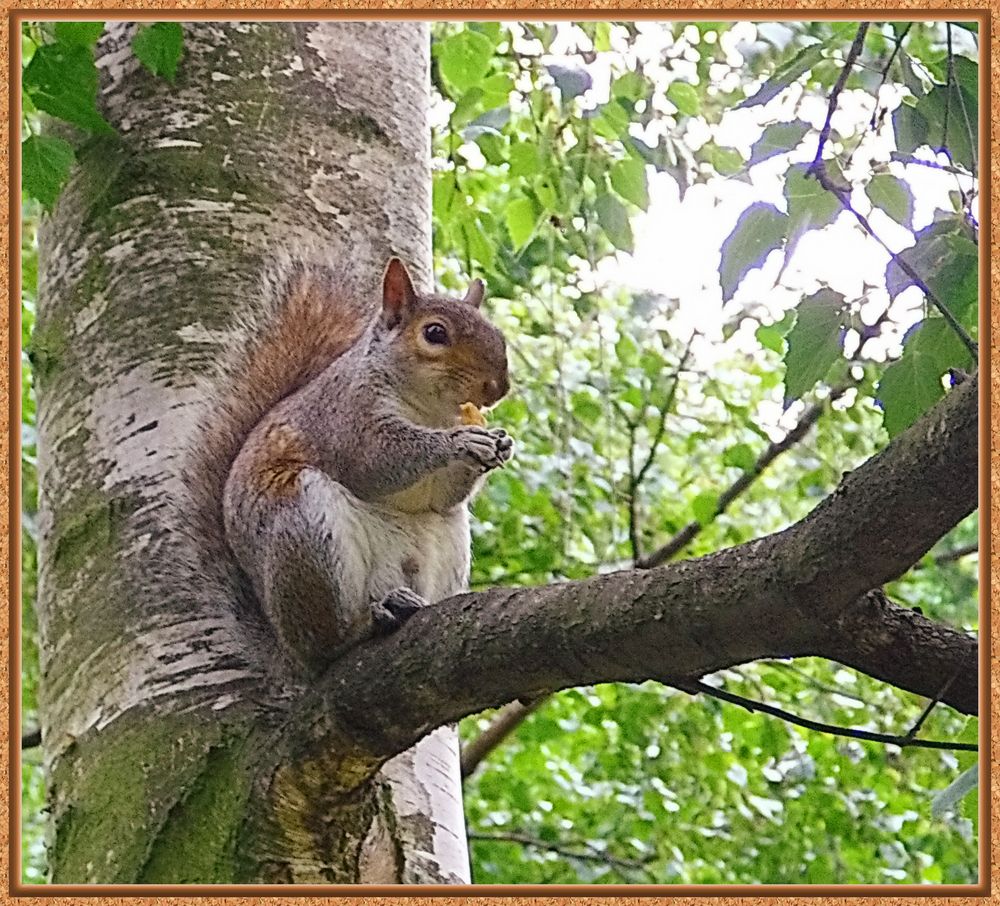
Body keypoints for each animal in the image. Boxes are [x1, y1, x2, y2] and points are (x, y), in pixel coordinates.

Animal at [190, 254, 512, 672]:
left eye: (498, 333)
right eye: (435, 333)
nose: (498, 388)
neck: (430, 409)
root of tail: (287, 648)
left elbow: (441, 494)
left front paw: (501, 443)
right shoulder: (348, 417)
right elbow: (376, 460)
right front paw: (459, 441)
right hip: (302, 526)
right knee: (327, 641)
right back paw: (370, 620)